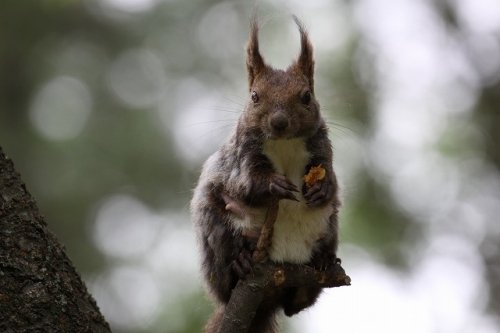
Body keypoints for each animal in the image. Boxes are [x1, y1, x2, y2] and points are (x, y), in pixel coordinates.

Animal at [190, 16, 340, 330]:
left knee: (297, 305)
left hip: (329, 228)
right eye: (254, 96)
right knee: (227, 274)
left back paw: (321, 265)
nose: (279, 122)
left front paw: (322, 189)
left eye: (306, 96)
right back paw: (241, 263)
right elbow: (246, 184)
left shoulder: (322, 152)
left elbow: (331, 180)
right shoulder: (241, 158)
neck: (284, 144)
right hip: (216, 230)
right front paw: (274, 186)